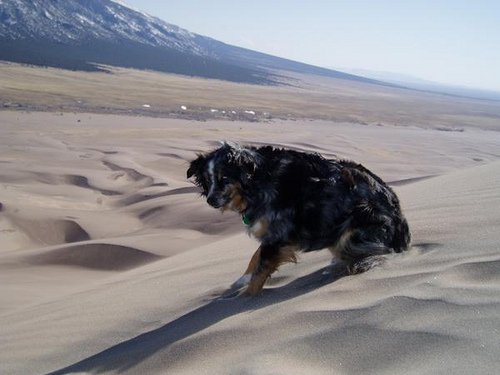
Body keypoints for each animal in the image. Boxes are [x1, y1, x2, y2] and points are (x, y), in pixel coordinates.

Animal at [187, 142, 410, 296]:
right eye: (207, 180)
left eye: (224, 178)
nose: (211, 200)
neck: (259, 179)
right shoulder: (273, 233)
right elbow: (256, 257)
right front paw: (242, 280)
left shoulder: (278, 232)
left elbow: (261, 269)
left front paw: (245, 298)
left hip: (353, 230)